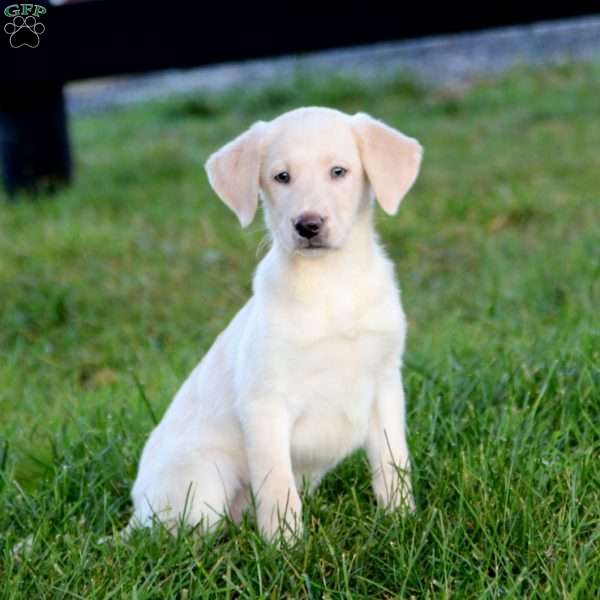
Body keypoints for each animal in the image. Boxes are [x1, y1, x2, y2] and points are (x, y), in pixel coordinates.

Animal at [130, 106, 422, 540]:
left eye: (339, 171)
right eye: (281, 176)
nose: (308, 225)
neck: (330, 283)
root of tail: (136, 516)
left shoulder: (385, 384)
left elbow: (392, 463)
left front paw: (402, 522)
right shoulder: (265, 403)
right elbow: (276, 485)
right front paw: (287, 546)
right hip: (202, 483)